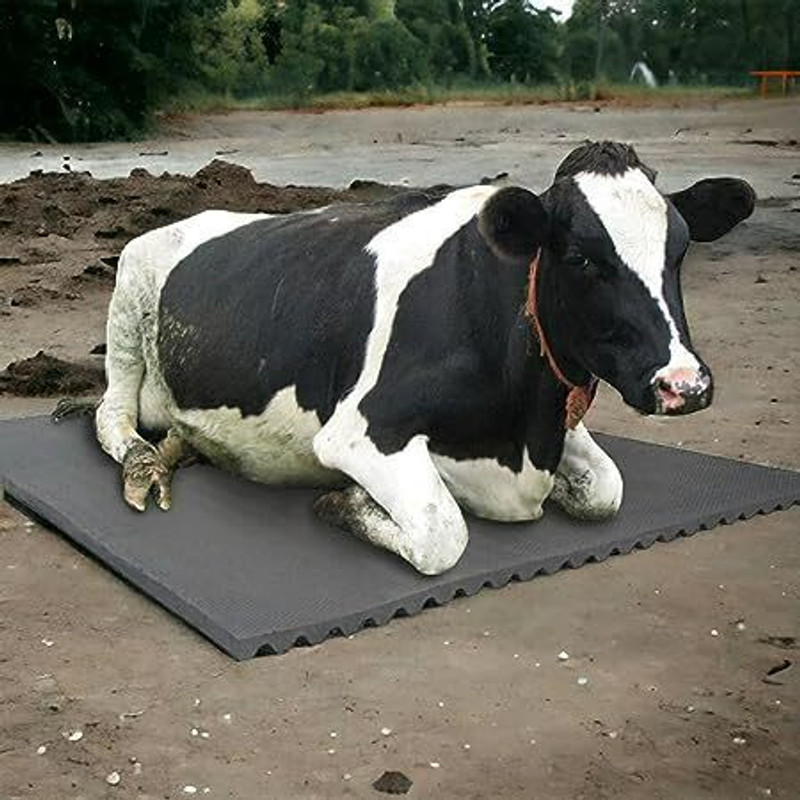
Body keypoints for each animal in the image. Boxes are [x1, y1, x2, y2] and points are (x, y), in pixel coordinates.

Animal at [90, 141, 755, 575]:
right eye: (582, 257)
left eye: (680, 251)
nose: (684, 385)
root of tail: (191, 218)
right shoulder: (358, 431)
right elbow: (442, 533)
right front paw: (347, 502)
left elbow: (606, 490)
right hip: (128, 301)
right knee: (111, 413)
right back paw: (145, 463)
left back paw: (181, 447)